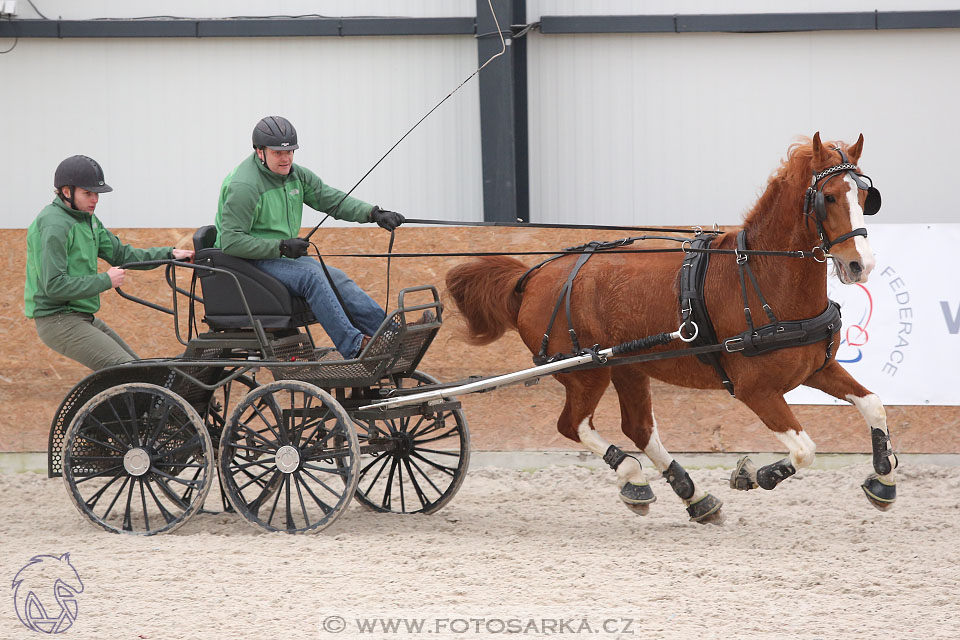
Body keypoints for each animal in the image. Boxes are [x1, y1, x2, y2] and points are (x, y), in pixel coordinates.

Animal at [446, 132, 896, 524]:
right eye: (829, 197)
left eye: (865, 196)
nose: (860, 264)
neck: (763, 278)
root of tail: (533, 276)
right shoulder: (756, 391)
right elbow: (805, 450)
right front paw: (753, 475)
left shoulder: (817, 368)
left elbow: (874, 405)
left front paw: (884, 480)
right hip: (586, 371)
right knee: (573, 425)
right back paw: (633, 478)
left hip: (628, 367)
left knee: (638, 429)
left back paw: (694, 497)